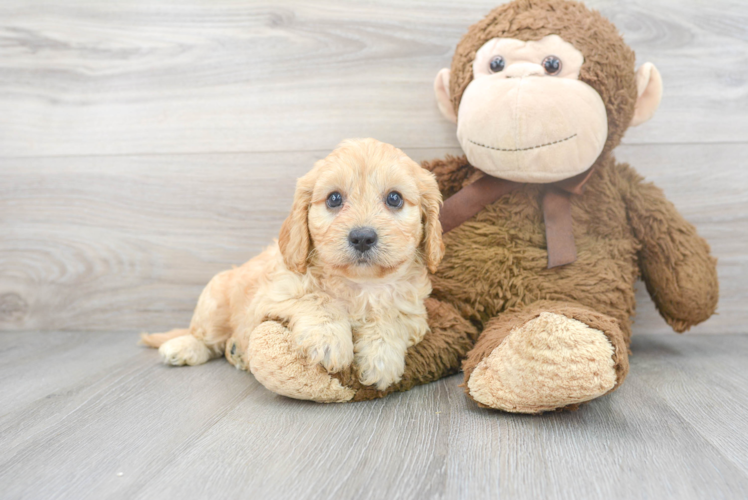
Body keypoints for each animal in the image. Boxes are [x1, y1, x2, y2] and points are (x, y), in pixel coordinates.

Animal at [140, 138, 444, 390]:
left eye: (394, 198)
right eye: (334, 198)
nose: (362, 237)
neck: (361, 284)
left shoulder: (414, 312)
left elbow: (390, 318)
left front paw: (381, 359)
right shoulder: (274, 293)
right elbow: (317, 298)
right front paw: (329, 340)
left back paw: (236, 352)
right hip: (213, 304)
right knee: (206, 338)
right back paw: (184, 347)